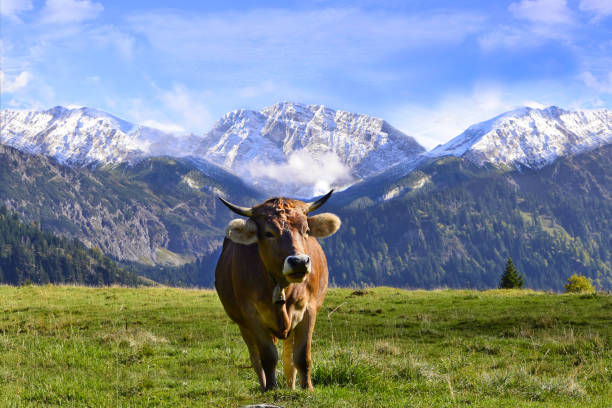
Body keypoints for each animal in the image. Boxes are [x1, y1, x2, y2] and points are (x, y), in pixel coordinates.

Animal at [214, 191, 340, 392]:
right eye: (268, 233)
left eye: (306, 230)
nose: (299, 262)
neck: (283, 286)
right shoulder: (252, 315)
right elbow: (268, 356)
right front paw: (271, 388)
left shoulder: (309, 309)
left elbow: (302, 356)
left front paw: (308, 388)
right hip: (244, 325)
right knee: (256, 358)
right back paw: (264, 384)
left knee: (289, 360)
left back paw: (292, 386)